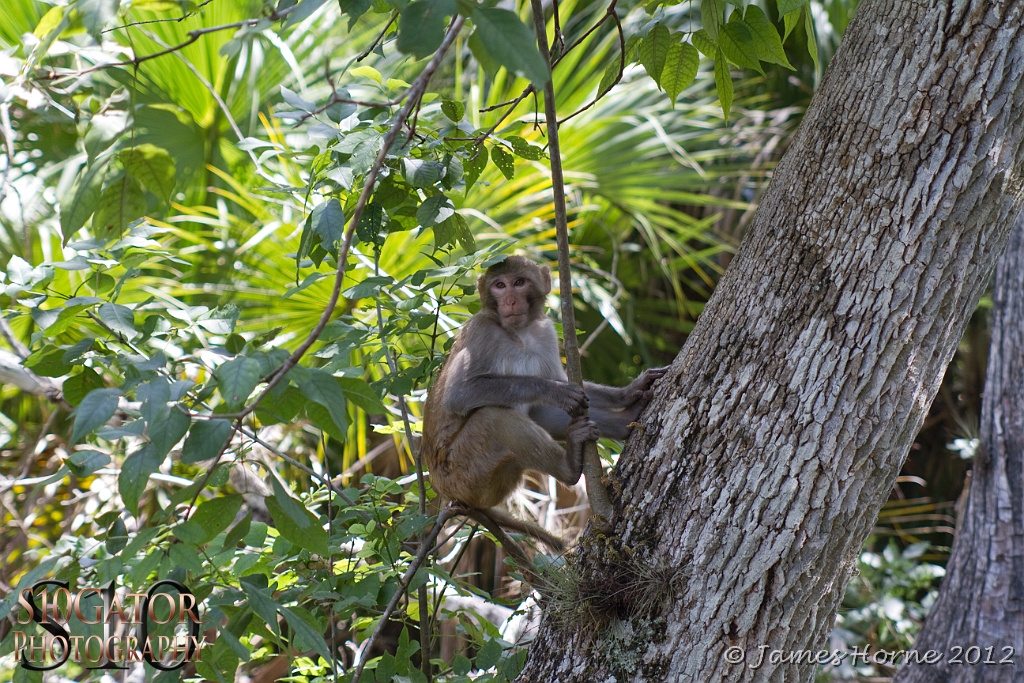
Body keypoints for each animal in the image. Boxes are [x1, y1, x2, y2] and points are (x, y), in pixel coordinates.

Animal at [419, 253, 667, 552]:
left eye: (519, 282)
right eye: (499, 285)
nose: (510, 301)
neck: (519, 332)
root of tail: (446, 492)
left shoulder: (545, 331)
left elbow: (568, 393)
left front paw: (628, 393)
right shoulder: (482, 331)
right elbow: (459, 394)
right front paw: (553, 390)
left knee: (536, 413)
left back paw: (622, 421)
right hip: (463, 475)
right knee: (494, 418)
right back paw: (569, 467)